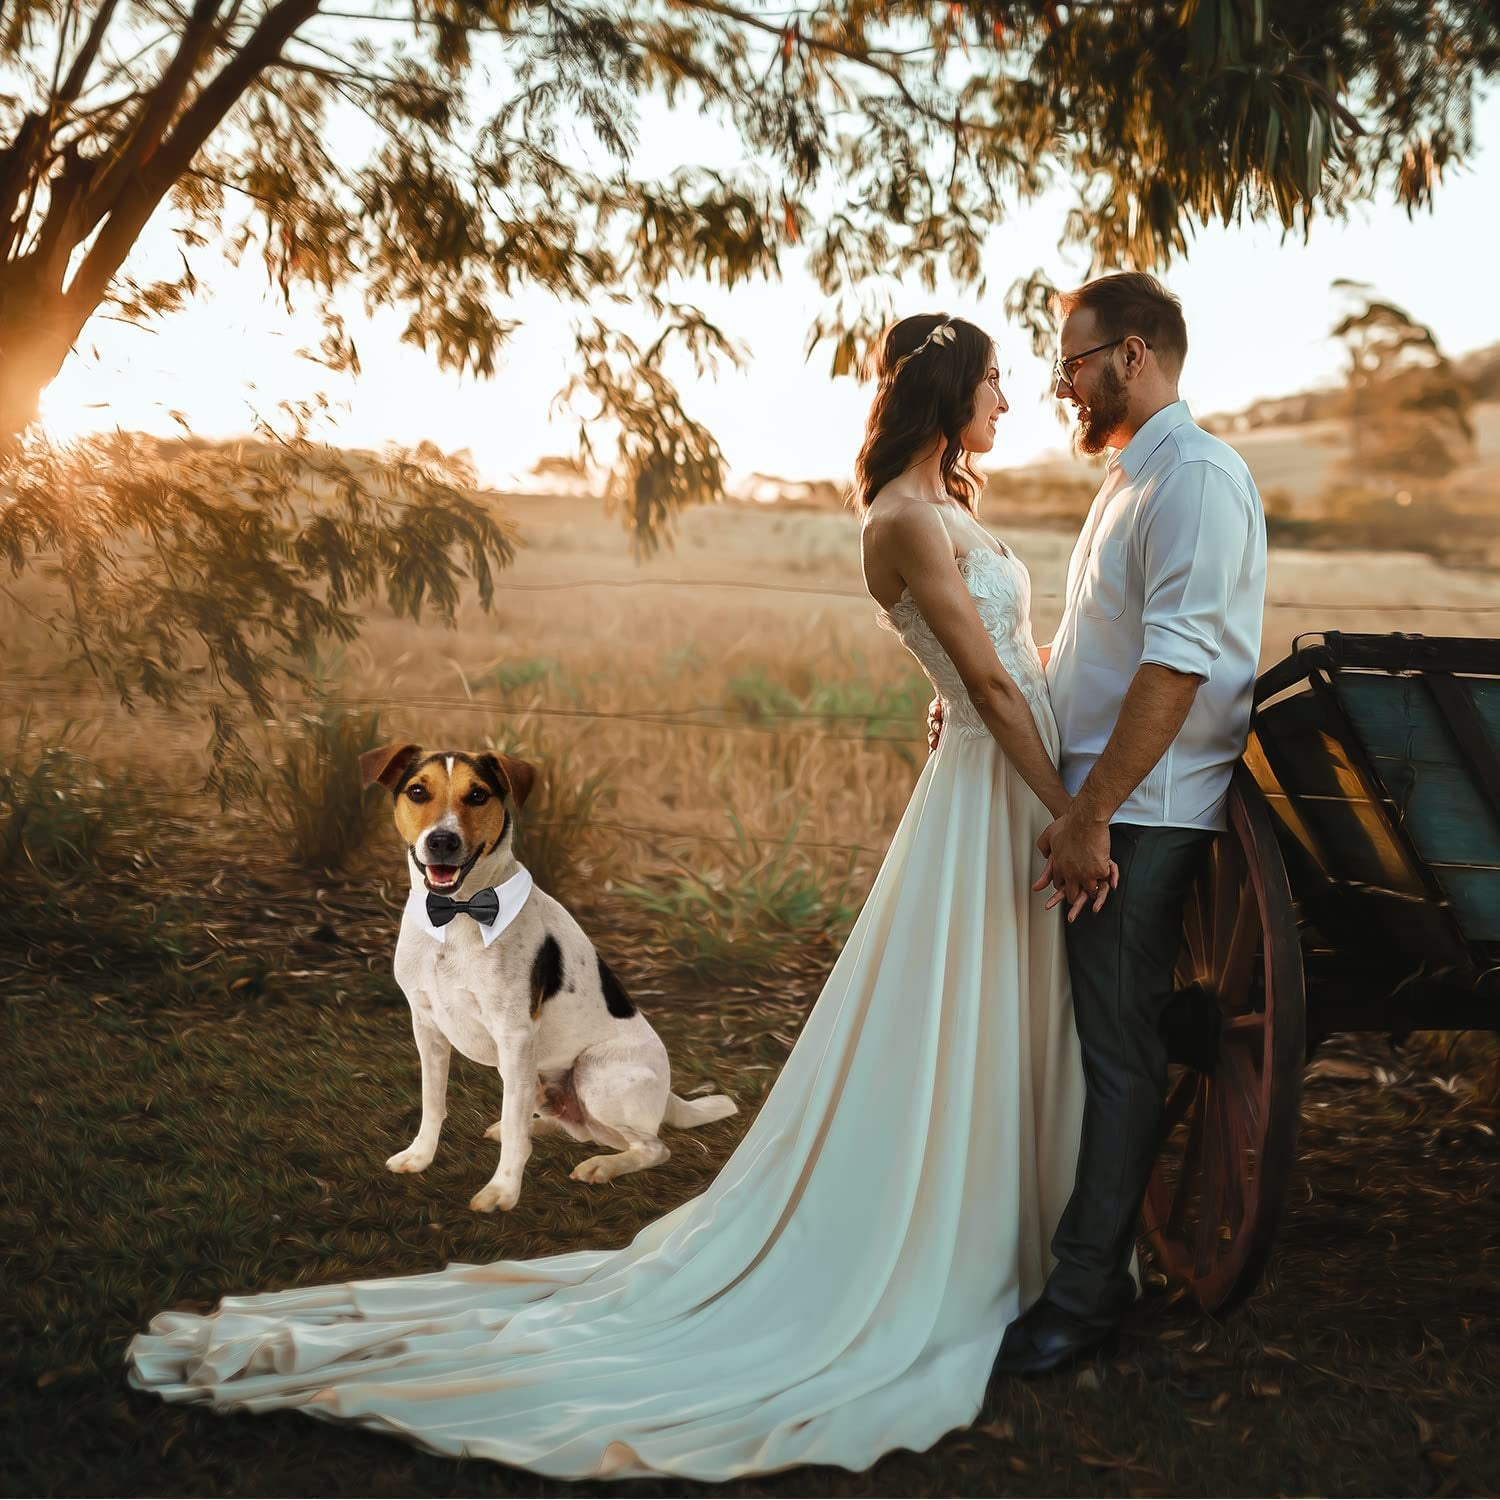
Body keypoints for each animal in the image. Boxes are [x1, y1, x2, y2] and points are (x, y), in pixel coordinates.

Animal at [363, 744, 738, 1212]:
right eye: (417, 791)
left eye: (477, 795)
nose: (442, 841)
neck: (457, 913)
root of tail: (669, 1093)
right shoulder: (426, 1025)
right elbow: (433, 1102)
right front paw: (420, 1156)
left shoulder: (515, 1034)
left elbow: (511, 1128)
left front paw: (502, 1191)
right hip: (538, 1078)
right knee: (564, 1124)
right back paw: (538, 1129)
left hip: (593, 1073)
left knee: (651, 1146)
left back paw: (600, 1166)